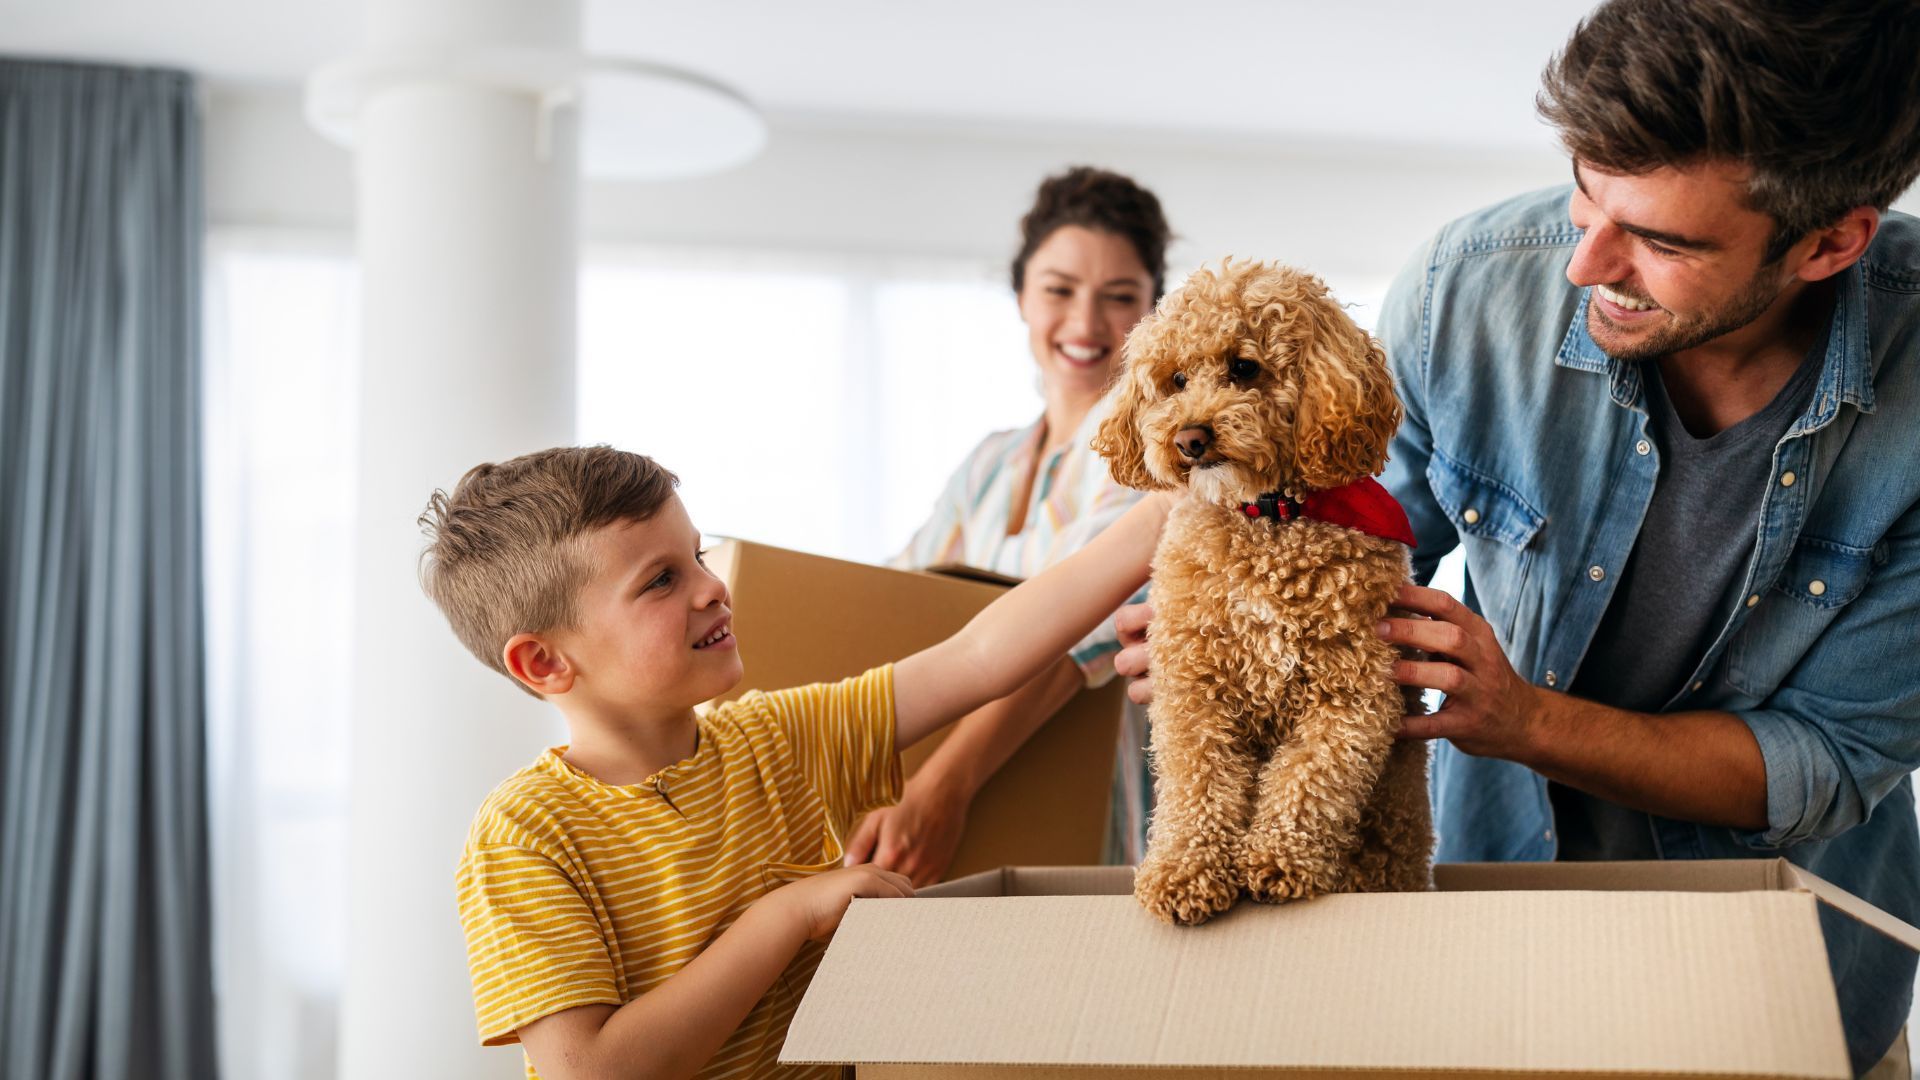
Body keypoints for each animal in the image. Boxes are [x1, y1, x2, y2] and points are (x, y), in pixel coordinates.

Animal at [1090, 261, 1436, 926]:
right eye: (1175, 381)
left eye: (1244, 367)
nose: (1189, 438)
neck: (1268, 518)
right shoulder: (1193, 688)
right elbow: (1197, 782)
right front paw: (1186, 870)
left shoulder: (1353, 693)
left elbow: (1312, 777)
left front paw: (1279, 859)